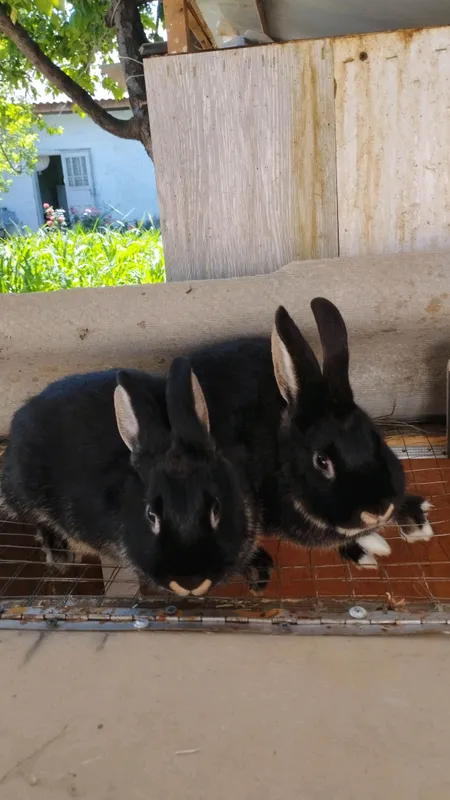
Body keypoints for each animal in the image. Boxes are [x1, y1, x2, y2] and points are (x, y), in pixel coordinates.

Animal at [0, 356, 271, 597]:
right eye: (151, 515)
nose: (190, 582)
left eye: (216, 509)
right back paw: (59, 553)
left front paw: (259, 572)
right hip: (24, 489)